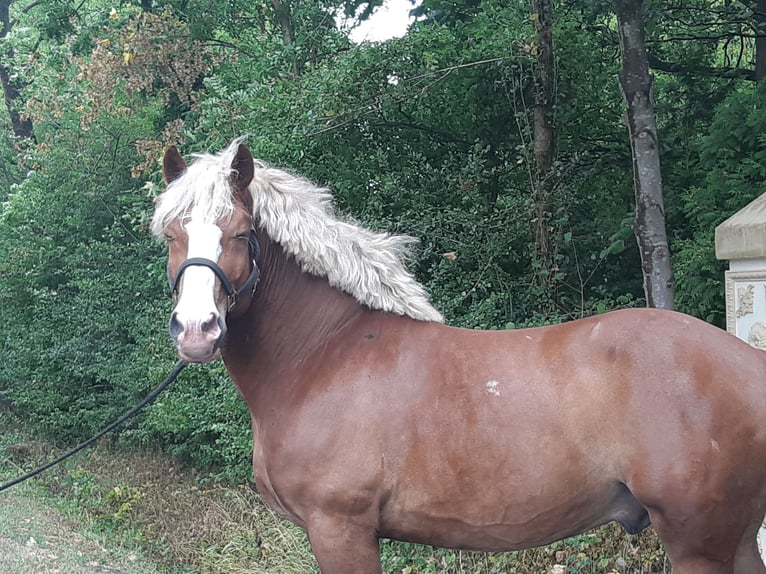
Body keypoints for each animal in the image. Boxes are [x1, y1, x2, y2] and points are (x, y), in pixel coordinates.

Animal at [151, 139, 766, 574]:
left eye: (240, 232)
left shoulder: (340, 530)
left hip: (701, 543)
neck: (326, 355)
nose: (197, 330)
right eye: (171, 235)